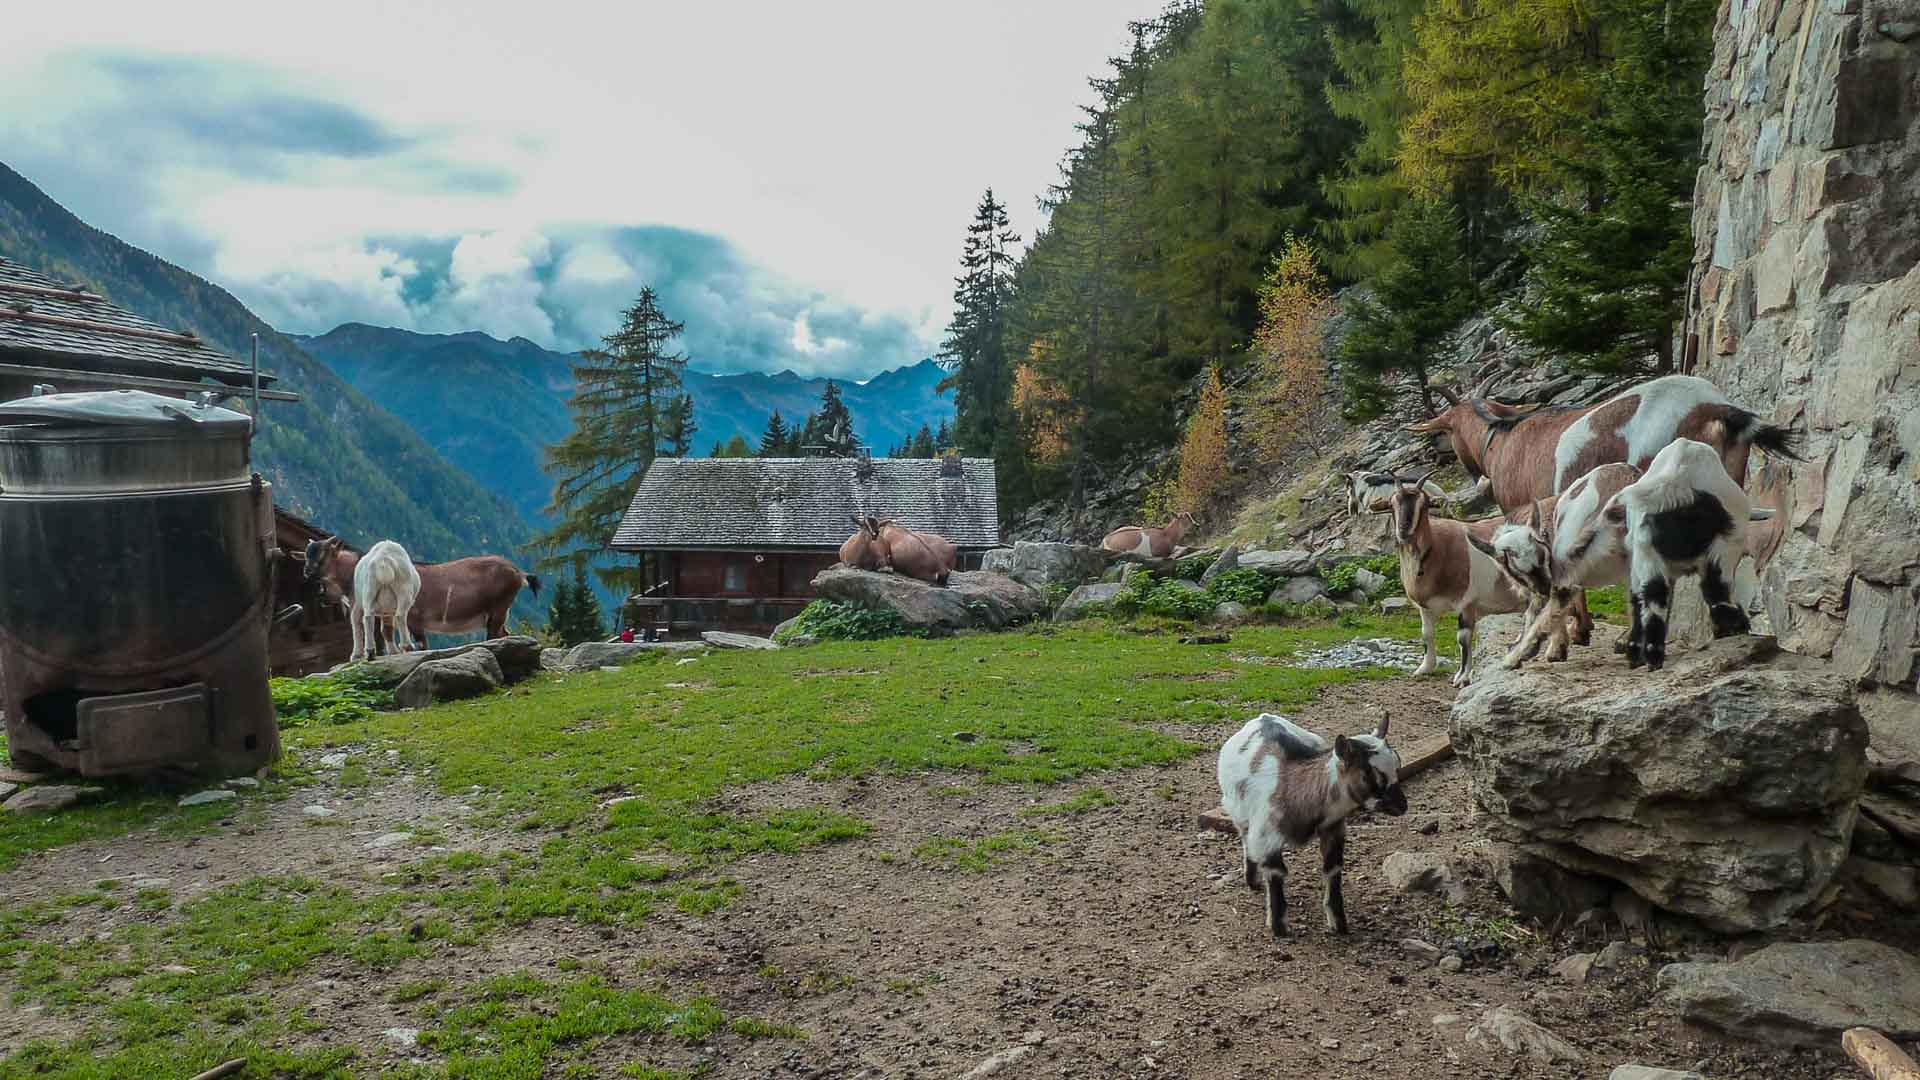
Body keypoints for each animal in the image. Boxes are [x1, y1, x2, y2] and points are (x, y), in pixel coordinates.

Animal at [1217, 712, 1406, 937]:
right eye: (1370, 775)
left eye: (1397, 765)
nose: (1402, 806)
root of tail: (1263, 717)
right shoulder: (1266, 836)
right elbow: (1275, 873)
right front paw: (1278, 928)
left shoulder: (1333, 829)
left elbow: (1332, 869)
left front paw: (1339, 923)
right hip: (1238, 811)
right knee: (1245, 837)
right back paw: (1252, 879)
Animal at [1388, 473, 1531, 687]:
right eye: (1392, 503)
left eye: (1425, 504)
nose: (1404, 531)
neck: (1437, 549)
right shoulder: (1425, 607)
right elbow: (1426, 633)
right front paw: (1425, 668)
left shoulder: (1467, 602)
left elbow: (1463, 638)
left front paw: (1462, 677)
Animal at [1598, 438, 1756, 671]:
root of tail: (1677, 480)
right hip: (1725, 546)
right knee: (1715, 589)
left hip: (1645, 552)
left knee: (1650, 598)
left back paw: (1648, 656)